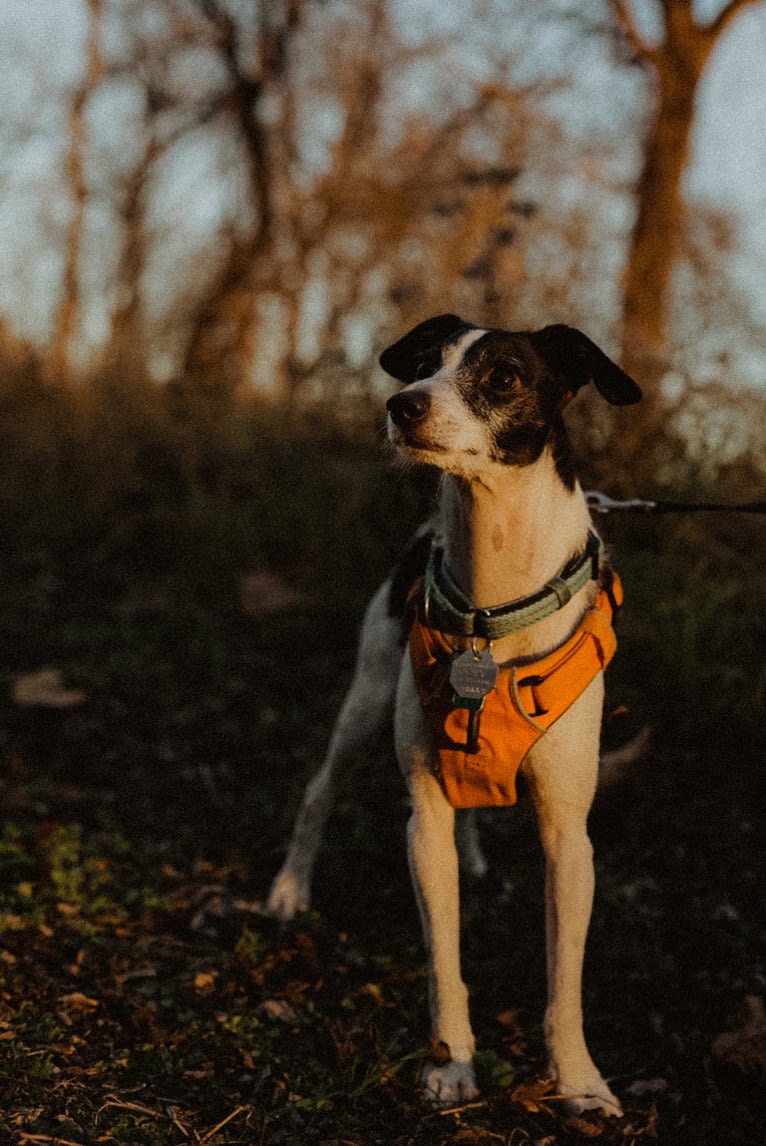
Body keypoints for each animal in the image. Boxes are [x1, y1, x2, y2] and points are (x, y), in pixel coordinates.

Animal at [268, 314, 642, 1109]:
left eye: (502, 376)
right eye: (422, 365)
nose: (402, 405)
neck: (491, 603)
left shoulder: (570, 839)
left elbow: (565, 981)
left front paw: (580, 1081)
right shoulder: (425, 822)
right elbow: (445, 959)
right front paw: (450, 1062)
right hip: (367, 698)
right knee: (320, 790)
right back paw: (289, 889)